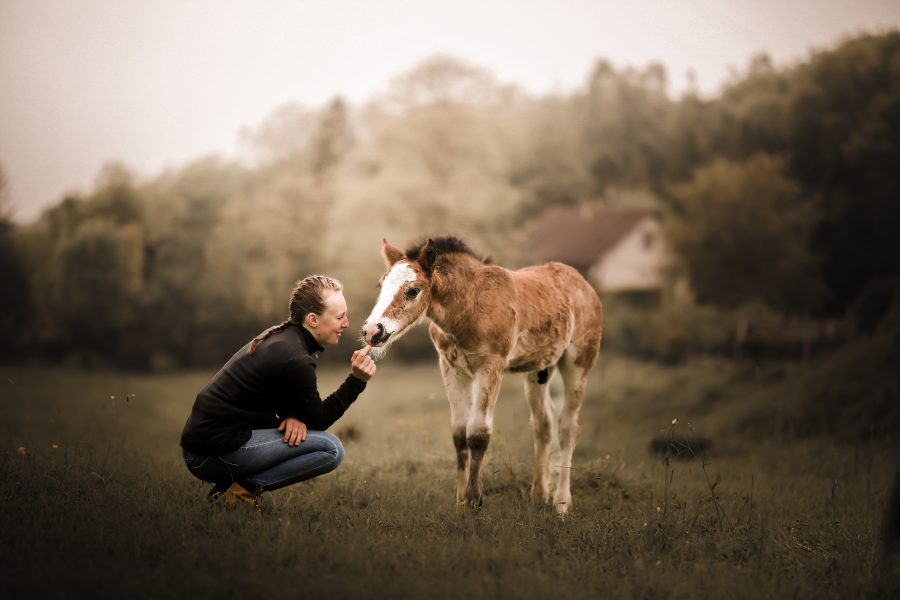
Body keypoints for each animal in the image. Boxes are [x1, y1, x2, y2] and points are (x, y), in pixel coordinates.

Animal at [360, 237, 604, 512]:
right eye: (381, 285)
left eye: (413, 290)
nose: (372, 331)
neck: (468, 304)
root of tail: (582, 282)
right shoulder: (451, 368)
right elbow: (459, 434)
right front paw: (460, 502)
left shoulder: (490, 366)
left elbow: (477, 433)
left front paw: (474, 500)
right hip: (538, 370)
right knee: (543, 423)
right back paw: (539, 494)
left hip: (578, 362)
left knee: (568, 427)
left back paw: (561, 503)